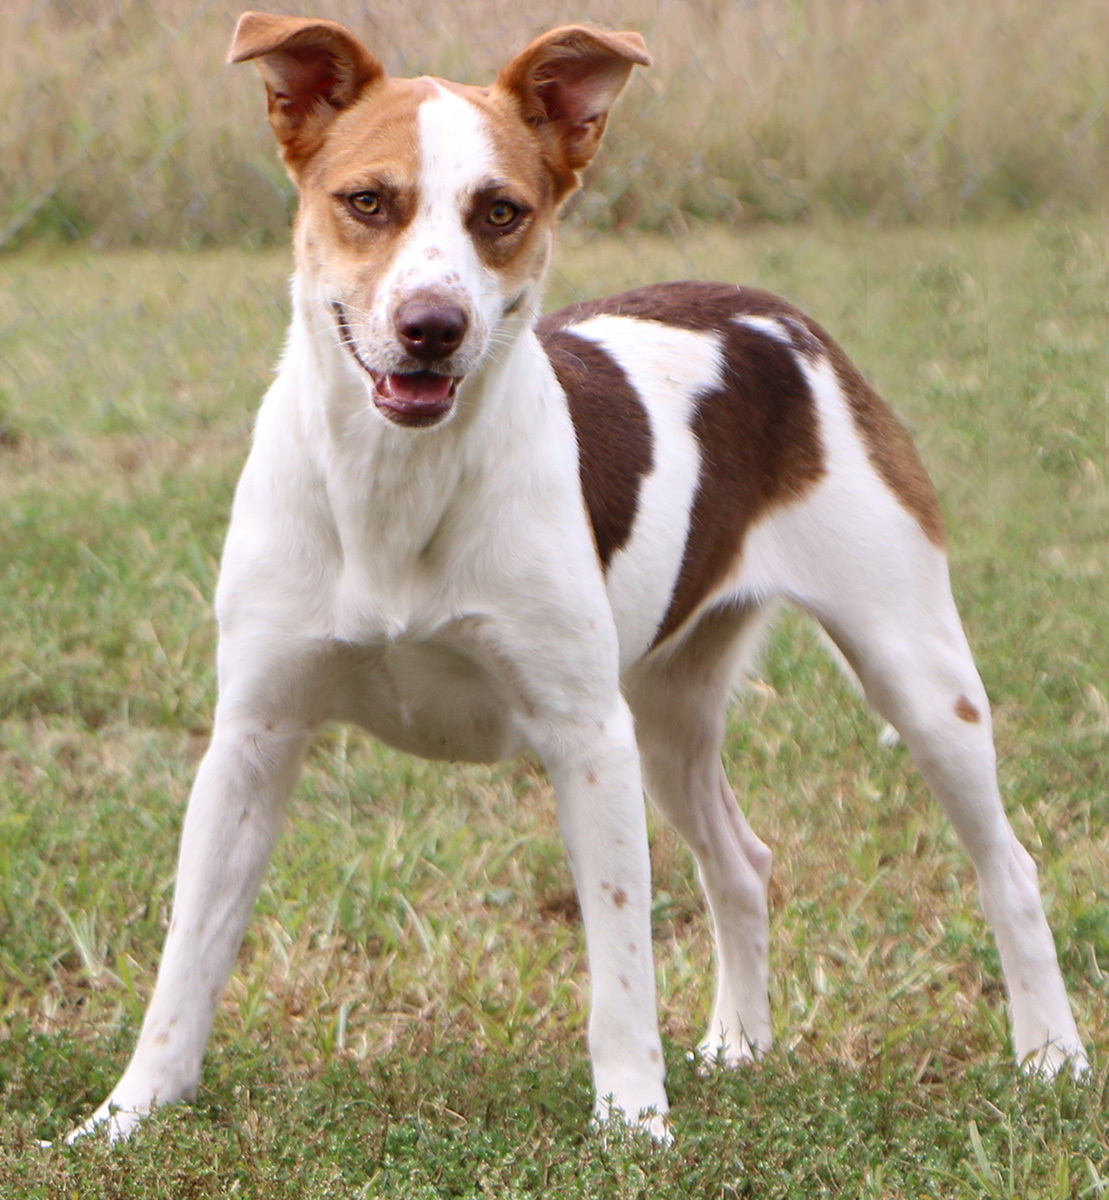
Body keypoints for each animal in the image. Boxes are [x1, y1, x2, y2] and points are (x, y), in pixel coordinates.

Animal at [67, 9, 1084, 1137]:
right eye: (367, 201)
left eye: (500, 211)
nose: (433, 327)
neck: (396, 481)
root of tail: (776, 317)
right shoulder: (252, 740)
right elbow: (185, 964)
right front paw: (126, 1116)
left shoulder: (585, 739)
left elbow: (620, 966)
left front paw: (633, 1124)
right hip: (668, 716)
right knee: (741, 863)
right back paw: (740, 1043)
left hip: (912, 674)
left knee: (1007, 867)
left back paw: (1049, 1054)